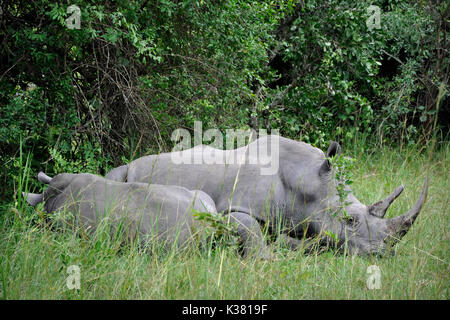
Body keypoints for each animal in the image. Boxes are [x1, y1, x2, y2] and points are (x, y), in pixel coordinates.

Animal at [105, 136, 428, 256]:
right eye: (350, 220)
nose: (382, 255)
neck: (308, 182)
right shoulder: (235, 208)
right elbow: (253, 231)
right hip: (127, 170)